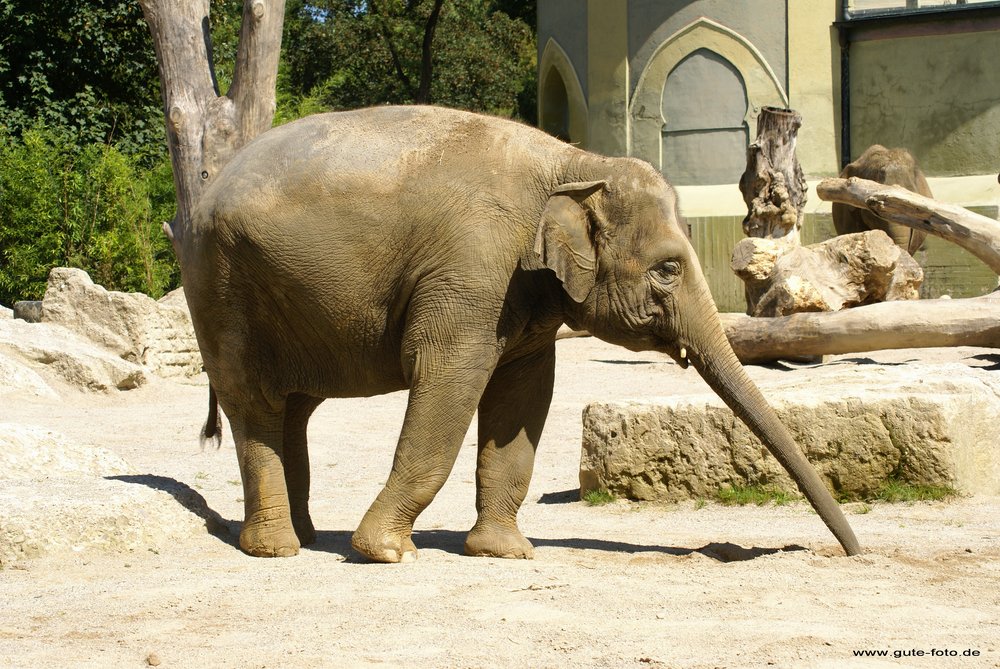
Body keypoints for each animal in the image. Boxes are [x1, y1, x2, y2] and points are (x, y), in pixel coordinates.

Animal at [181, 105, 861, 562]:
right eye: (669, 269)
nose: (848, 552)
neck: (575, 163)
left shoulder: (525, 293)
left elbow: (524, 395)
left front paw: (504, 552)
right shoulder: (473, 270)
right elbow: (448, 379)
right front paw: (386, 553)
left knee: (294, 409)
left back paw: (303, 535)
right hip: (221, 287)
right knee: (256, 404)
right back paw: (277, 549)